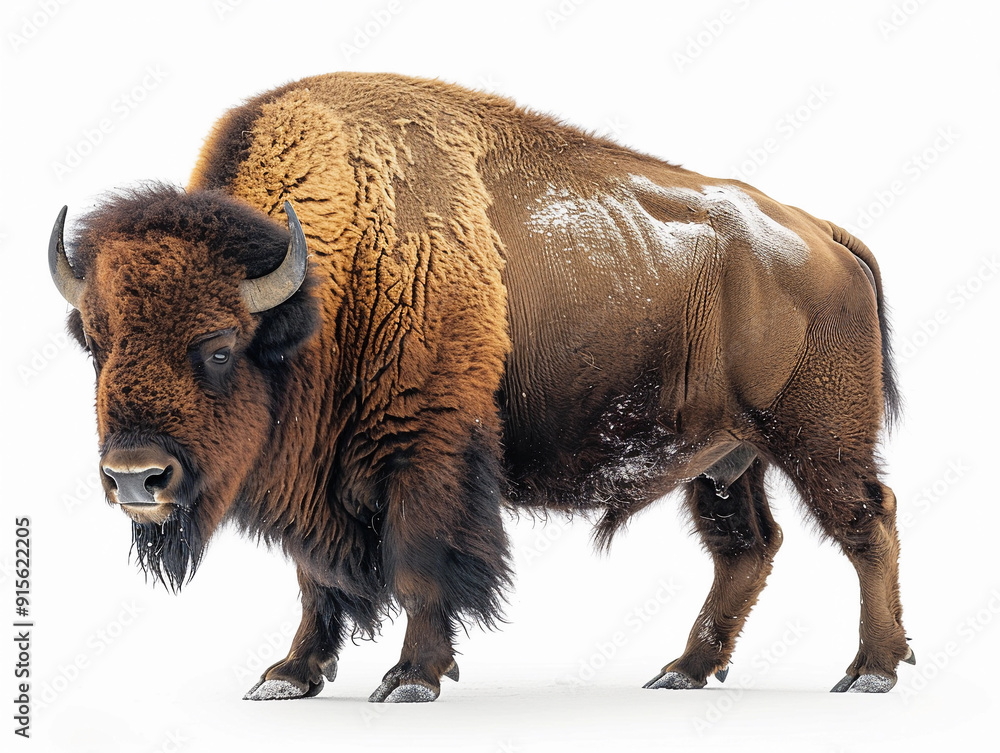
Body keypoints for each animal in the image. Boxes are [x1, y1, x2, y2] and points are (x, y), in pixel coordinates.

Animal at [50, 72, 911, 701]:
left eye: (220, 347)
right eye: (94, 343)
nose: (136, 477)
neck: (325, 288)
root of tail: (821, 236)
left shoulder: (427, 452)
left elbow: (421, 562)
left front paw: (409, 678)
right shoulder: (315, 476)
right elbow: (314, 579)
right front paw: (289, 676)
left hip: (817, 439)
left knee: (868, 524)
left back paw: (870, 669)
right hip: (726, 458)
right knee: (747, 548)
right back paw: (684, 671)